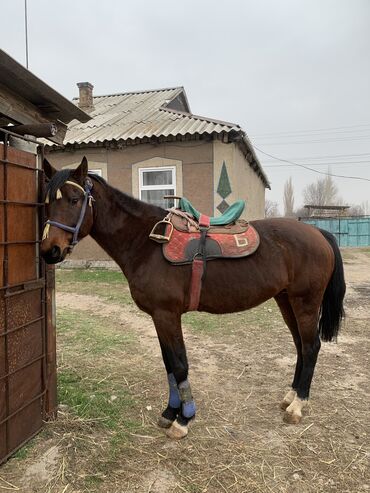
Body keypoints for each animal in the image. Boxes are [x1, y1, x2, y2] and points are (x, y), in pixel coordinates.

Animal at [42, 158, 346, 438]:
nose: (50, 251)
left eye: (74, 199)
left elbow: (179, 365)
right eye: (45, 202)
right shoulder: (158, 317)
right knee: (300, 346)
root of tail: (318, 232)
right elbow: (169, 365)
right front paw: (169, 412)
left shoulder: (167, 315)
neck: (147, 243)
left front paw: (184, 418)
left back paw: (298, 406)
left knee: (311, 347)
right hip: (286, 301)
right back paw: (290, 396)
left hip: (305, 303)